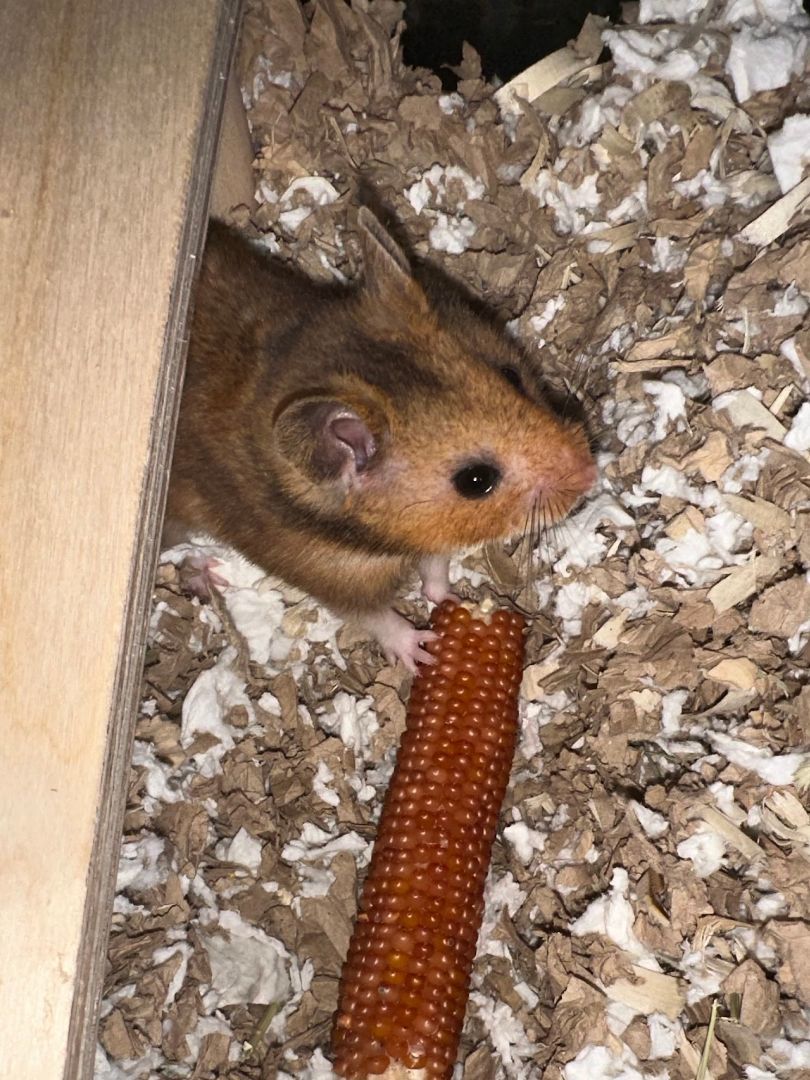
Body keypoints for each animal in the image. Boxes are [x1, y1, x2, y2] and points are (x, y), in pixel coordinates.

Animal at [166, 209, 596, 671]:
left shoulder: (431, 535)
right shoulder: (329, 576)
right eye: (476, 480)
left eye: (512, 375)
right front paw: (422, 649)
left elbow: (435, 567)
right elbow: (376, 617)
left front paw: (455, 599)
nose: (591, 472)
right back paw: (209, 572)